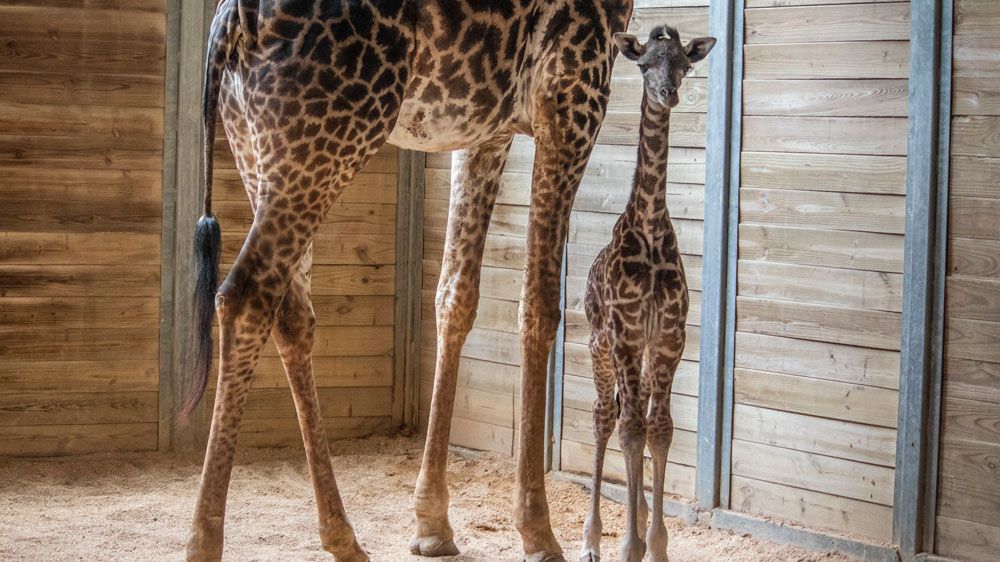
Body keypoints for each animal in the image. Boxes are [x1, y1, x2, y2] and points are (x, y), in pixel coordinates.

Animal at [182, 1, 632, 560]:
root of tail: (231, 22)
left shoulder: (487, 129)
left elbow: (455, 296)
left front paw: (432, 523)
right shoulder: (574, 91)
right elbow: (540, 305)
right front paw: (538, 531)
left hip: (259, 151)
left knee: (291, 314)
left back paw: (343, 536)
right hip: (324, 143)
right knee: (245, 297)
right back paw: (205, 541)